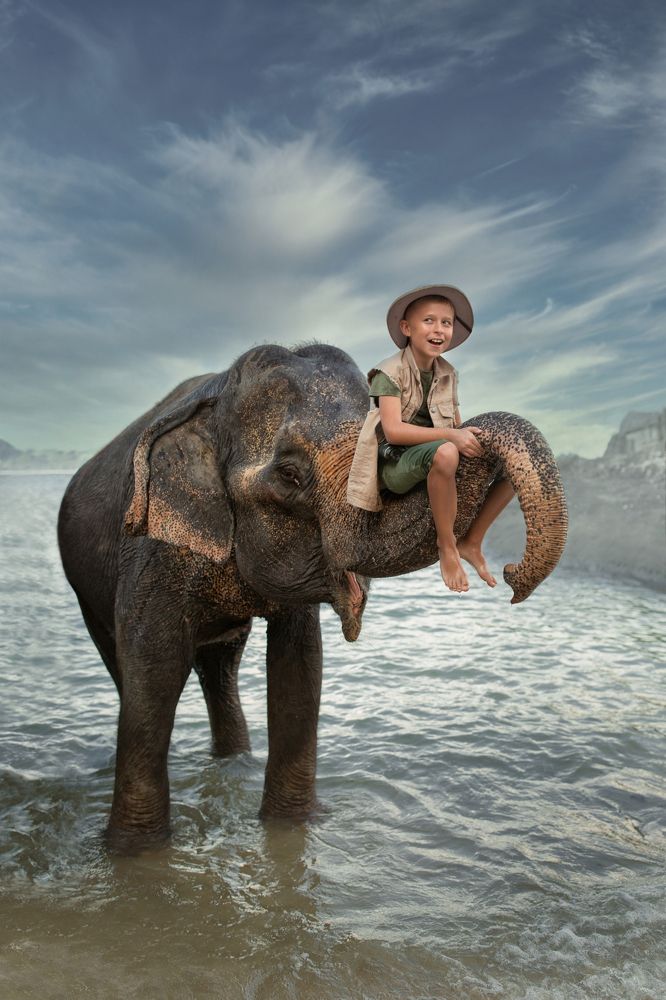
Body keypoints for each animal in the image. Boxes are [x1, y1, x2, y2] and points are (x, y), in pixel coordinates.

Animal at [57, 343, 567, 852]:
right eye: (288, 474)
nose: (511, 576)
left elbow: (299, 666)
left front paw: (290, 830)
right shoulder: (151, 551)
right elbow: (154, 668)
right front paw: (135, 856)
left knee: (220, 667)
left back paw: (233, 763)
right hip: (86, 592)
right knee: (127, 669)